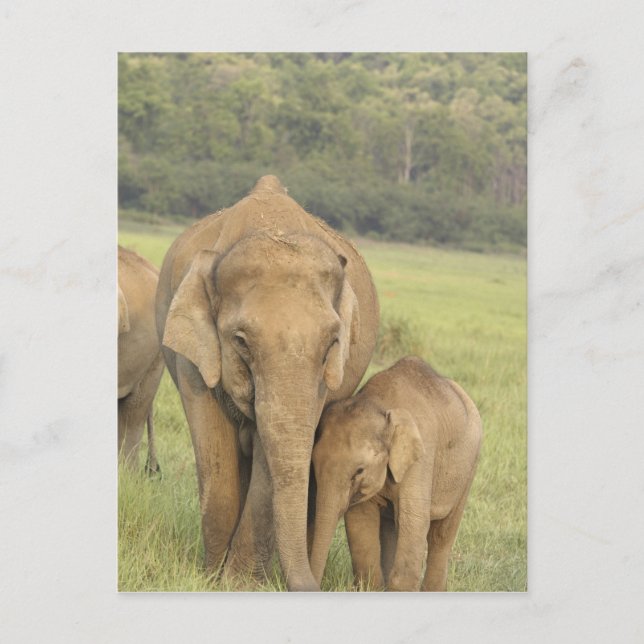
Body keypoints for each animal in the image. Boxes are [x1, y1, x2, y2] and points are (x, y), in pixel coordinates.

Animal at [155, 175, 380, 591]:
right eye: (241, 341)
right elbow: (214, 451)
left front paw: (238, 584)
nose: (314, 585)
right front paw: (211, 578)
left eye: (332, 344)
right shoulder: (193, 358)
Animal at [310, 356, 482, 591]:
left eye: (359, 471)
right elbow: (360, 518)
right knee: (391, 526)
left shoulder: (421, 457)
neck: (379, 405)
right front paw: (371, 588)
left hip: (469, 467)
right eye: (313, 465)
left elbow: (414, 520)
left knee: (441, 534)